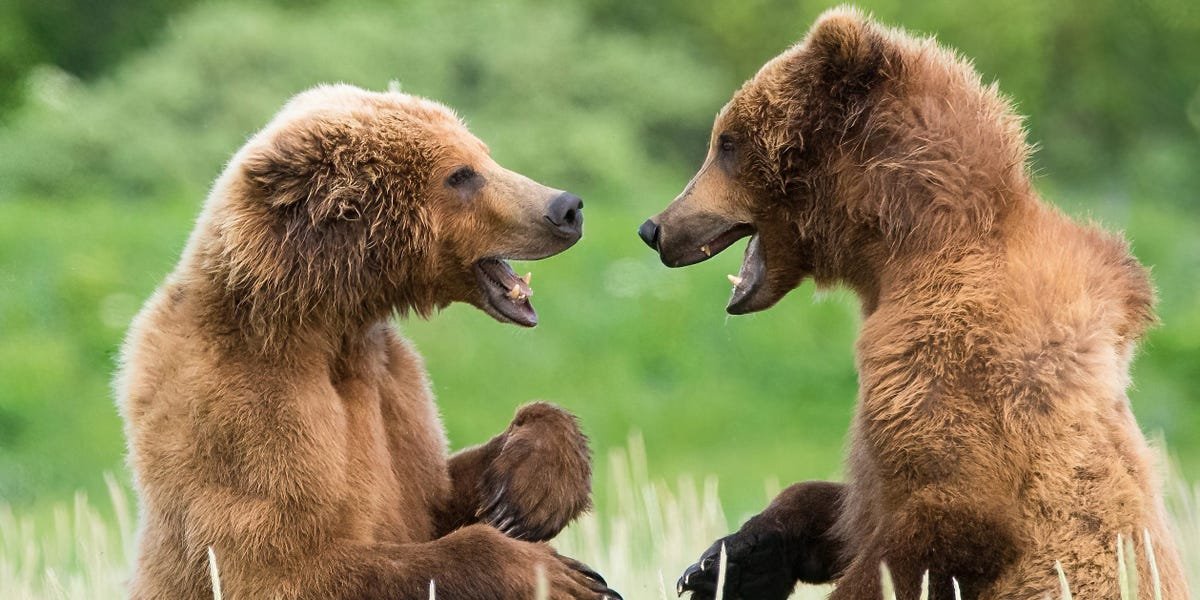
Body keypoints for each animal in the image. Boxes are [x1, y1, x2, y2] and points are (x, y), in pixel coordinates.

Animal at [115, 84, 620, 599]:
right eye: (460, 175)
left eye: (484, 154)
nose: (566, 207)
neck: (328, 325)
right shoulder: (241, 409)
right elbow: (281, 565)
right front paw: (556, 574)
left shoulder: (392, 386)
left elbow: (435, 488)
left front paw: (529, 491)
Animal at [637, 8, 1187, 600]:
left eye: (726, 143)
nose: (654, 227)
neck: (899, 252)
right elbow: (851, 507)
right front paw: (729, 559)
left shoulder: (951, 354)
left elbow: (951, 518)